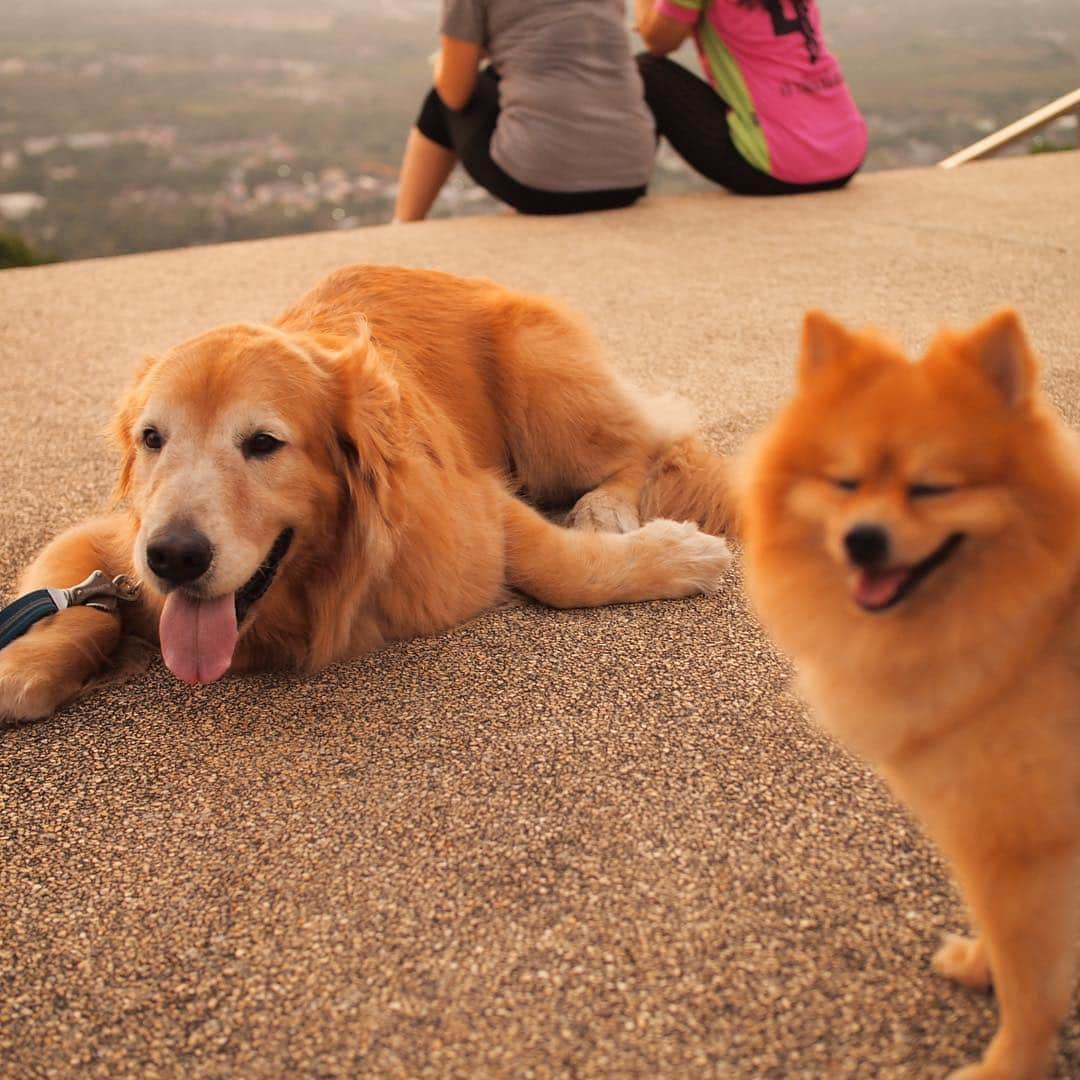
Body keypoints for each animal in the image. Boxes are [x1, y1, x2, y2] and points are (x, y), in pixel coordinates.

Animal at [0, 262, 734, 721]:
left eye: (263, 443)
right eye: (152, 438)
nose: (172, 557)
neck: (311, 590)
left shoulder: (469, 508)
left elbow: (556, 569)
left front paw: (678, 556)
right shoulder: (110, 541)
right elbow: (64, 615)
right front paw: (20, 668)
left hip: (545, 391)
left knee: (644, 441)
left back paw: (607, 504)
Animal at [743, 308, 1080, 1080]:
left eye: (932, 488)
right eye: (844, 482)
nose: (863, 539)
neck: (1034, 629)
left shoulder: (1019, 847)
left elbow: (1033, 983)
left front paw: (1007, 1067)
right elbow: (1013, 949)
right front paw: (982, 966)